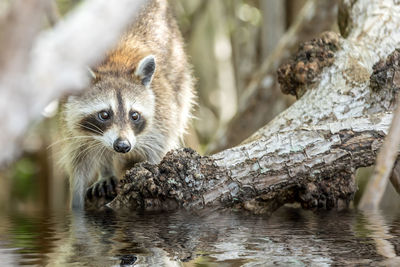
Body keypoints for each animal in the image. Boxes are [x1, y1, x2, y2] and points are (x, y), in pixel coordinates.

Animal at [59, 0, 195, 209]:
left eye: (134, 115)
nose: (123, 146)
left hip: (181, 80)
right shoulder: (71, 128)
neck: (113, 66)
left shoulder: (162, 115)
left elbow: (158, 152)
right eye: (104, 114)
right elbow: (79, 164)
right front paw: (77, 206)